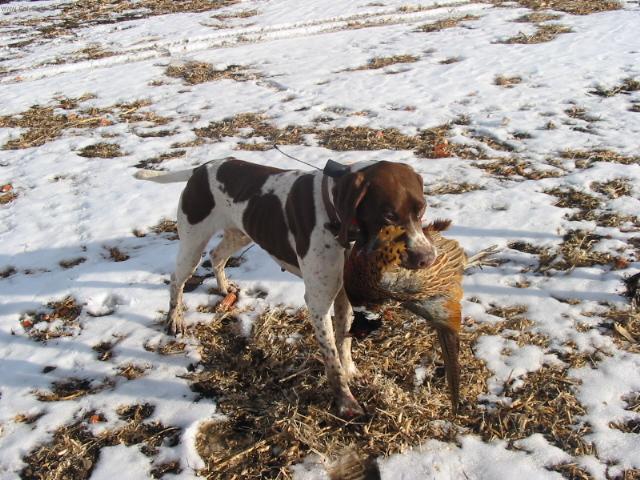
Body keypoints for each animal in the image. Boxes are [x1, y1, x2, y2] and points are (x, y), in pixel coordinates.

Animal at [134, 158, 436, 416]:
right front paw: (345, 402)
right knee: (177, 280)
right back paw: (175, 319)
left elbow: (344, 341)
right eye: (389, 215)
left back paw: (224, 289)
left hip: (241, 233)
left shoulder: (342, 294)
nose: (428, 258)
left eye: (421, 209)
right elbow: (331, 358)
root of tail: (201, 168)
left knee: (217, 256)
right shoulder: (318, 301)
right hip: (192, 243)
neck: (336, 215)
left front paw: (351, 371)